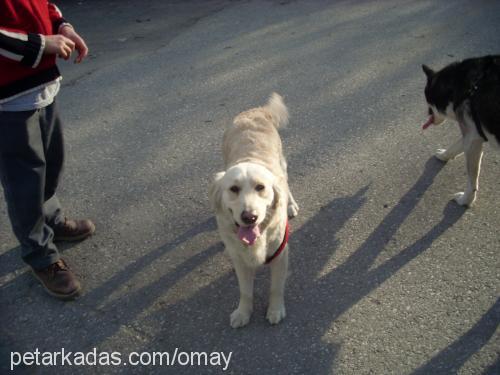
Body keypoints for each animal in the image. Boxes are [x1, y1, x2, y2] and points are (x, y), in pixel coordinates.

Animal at [209, 94, 298, 328]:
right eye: (233, 189)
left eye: (260, 187)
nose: (249, 217)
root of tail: (255, 110)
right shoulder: (239, 260)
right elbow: (245, 291)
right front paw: (243, 312)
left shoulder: (280, 254)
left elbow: (276, 288)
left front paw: (275, 309)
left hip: (282, 164)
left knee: (287, 185)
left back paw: (291, 204)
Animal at [422, 55, 500, 207]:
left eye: (428, 100)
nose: (428, 113)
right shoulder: (473, 134)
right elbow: (455, 146)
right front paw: (444, 155)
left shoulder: (471, 139)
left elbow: (472, 179)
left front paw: (466, 200)